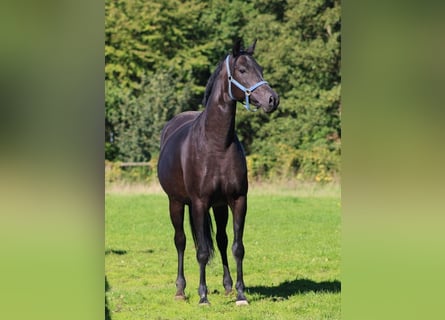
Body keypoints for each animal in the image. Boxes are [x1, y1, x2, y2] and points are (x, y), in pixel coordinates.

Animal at [158, 38, 280, 304]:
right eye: (242, 70)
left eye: (260, 69)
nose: (272, 100)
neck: (216, 144)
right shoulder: (199, 202)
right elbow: (202, 251)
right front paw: (203, 297)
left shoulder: (238, 200)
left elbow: (237, 247)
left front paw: (241, 294)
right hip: (176, 203)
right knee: (181, 241)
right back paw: (180, 290)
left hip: (219, 206)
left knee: (221, 241)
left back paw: (227, 286)